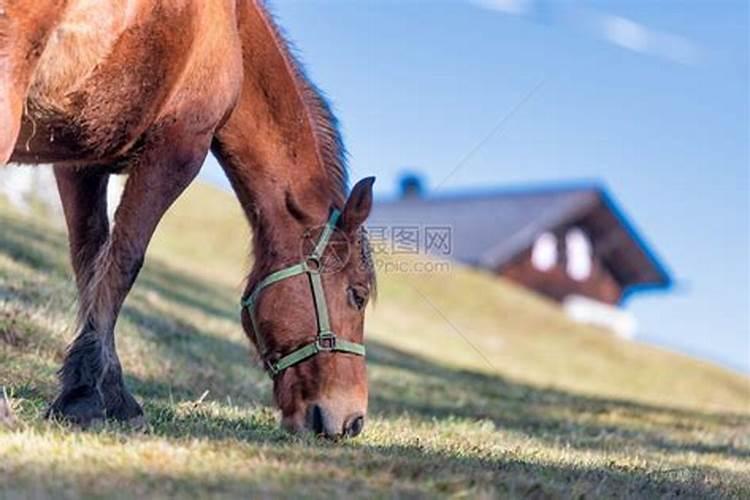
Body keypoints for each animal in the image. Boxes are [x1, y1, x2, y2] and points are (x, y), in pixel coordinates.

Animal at [0, 0, 376, 438]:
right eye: (357, 295)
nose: (352, 420)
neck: (233, 28)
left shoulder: (80, 164)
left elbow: (90, 262)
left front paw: (84, 390)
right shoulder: (178, 149)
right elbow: (122, 264)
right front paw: (98, 396)